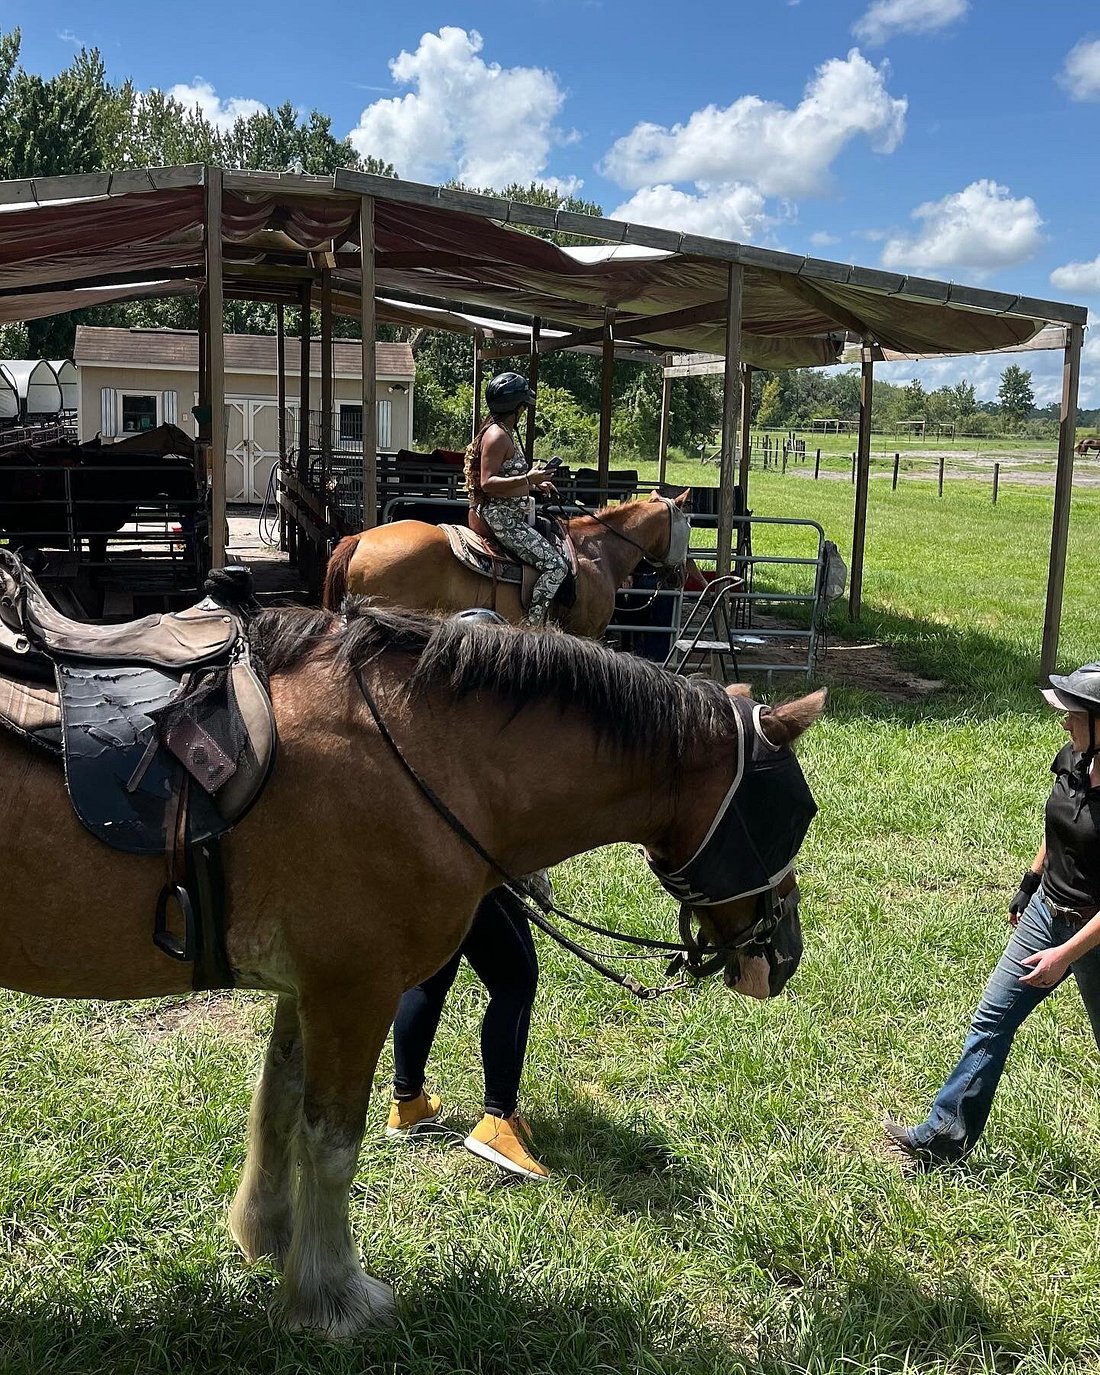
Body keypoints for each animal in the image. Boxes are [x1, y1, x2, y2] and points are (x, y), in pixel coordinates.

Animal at [0, 599, 825, 1331]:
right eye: (793, 811)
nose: (782, 956)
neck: (418, 755)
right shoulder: (354, 989)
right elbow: (332, 1143)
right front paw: (332, 1293)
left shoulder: (308, 987)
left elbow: (277, 1104)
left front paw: (270, 1233)